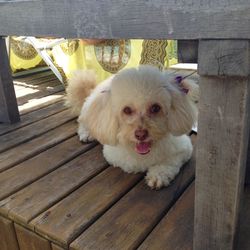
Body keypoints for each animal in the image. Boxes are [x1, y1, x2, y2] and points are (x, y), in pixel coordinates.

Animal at [66, 65, 197, 188]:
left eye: (155, 108)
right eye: (127, 110)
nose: (141, 135)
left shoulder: (183, 149)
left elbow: (169, 162)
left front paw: (158, 175)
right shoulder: (115, 156)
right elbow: (132, 164)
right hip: (87, 109)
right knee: (83, 121)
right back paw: (86, 134)